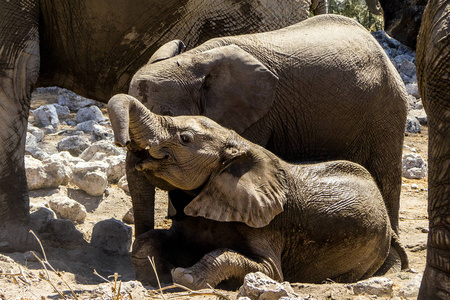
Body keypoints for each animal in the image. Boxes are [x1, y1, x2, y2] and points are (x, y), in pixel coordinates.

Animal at [108, 93, 408, 288]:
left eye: (185, 139)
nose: (123, 142)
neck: (238, 144)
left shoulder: (269, 224)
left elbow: (269, 272)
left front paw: (185, 277)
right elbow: (150, 242)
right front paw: (153, 278)